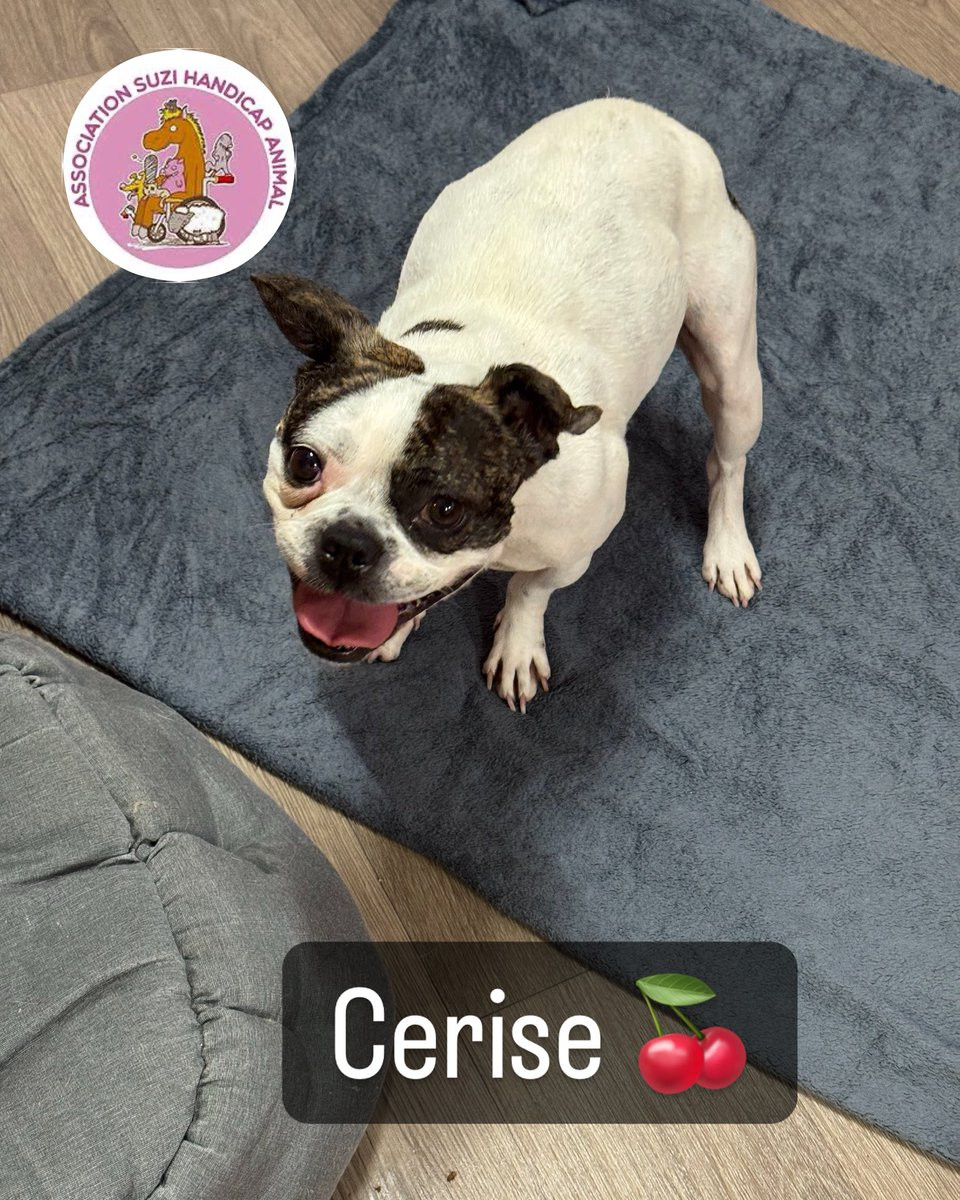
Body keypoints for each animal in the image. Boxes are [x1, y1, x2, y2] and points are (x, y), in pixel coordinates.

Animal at [254, 99, 762, 711]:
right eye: (303, 463)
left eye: (446, 510)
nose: (348, 543)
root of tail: (640, 112)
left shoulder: (577, 548)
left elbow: (530, 589)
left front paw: (517, 644)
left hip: (732, 368)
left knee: (727, 463)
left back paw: (728, 547)